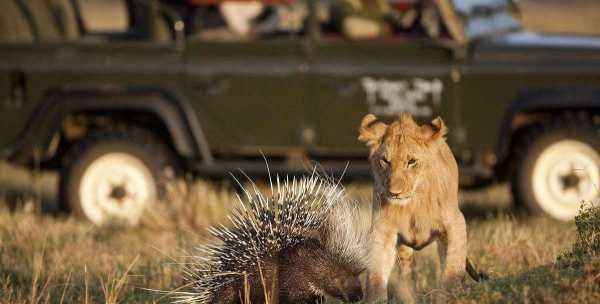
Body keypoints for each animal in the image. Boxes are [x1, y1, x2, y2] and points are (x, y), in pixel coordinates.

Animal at [356, 113, 482, 302]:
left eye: (411, 161)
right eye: (385, 161)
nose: (394, 193)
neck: (412, 205)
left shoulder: (455, 222)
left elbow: (453, 265)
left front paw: (453, 294)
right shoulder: (382, 229)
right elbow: (376, 272)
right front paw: (375, 299)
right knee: (408, 271)